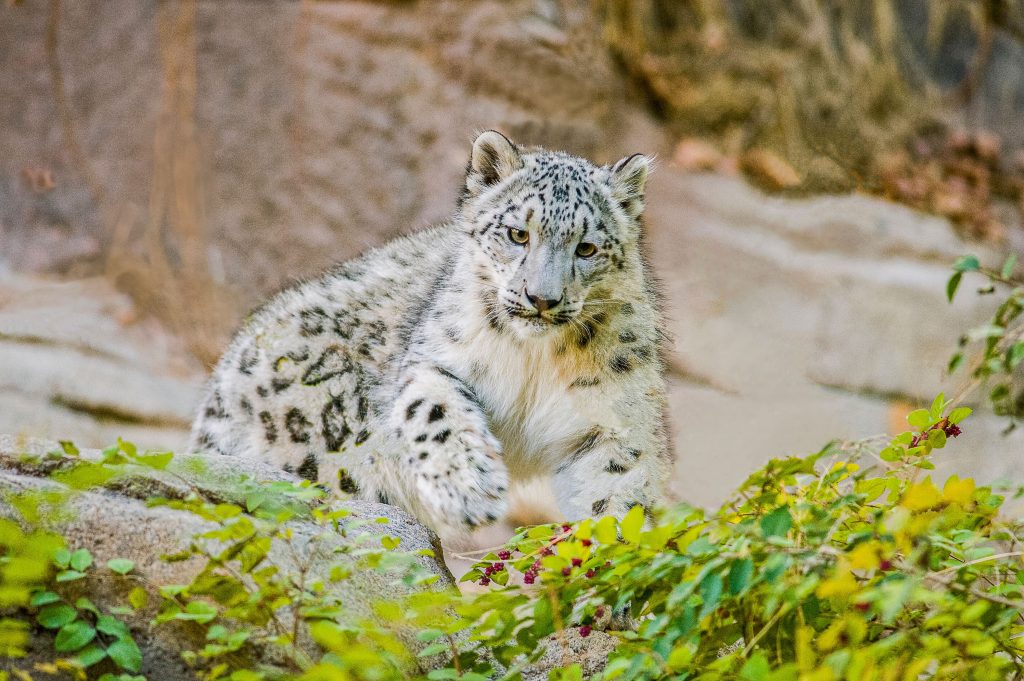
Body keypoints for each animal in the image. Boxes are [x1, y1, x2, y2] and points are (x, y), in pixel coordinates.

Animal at [189, 130, 674, 539]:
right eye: (518, 233)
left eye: (586, 248)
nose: (541, 298)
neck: (534, 359)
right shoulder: (436, 359)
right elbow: (436, 409)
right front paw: (470, 489)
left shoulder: (615, 417)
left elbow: (617, 488)